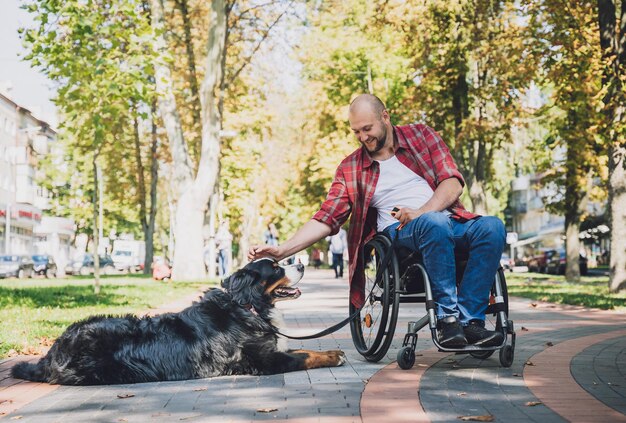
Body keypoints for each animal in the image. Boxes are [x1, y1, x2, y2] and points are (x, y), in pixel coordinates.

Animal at [9, 260, 344, 386]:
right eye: (275, 269)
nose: (301, 263)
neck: (247, 306)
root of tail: (53, 352)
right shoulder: (264, 360)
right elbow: (304, 356)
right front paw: (334, 355)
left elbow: (304, 349)